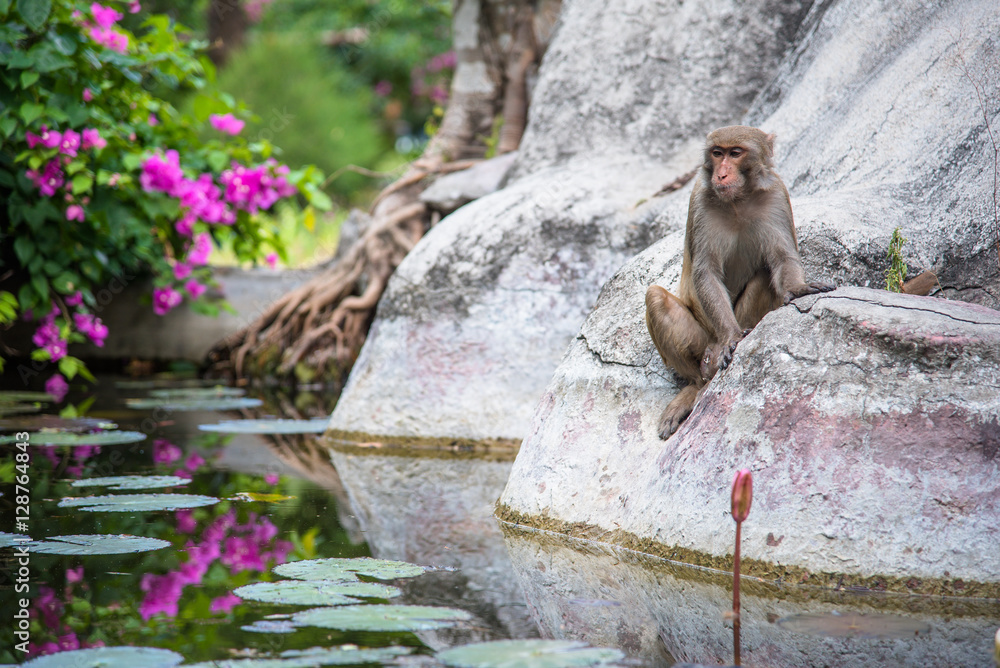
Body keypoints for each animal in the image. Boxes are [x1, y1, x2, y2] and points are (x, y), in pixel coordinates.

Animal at [645, 126, 834, 439]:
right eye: (716, 153)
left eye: (735, 153)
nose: (721, 174)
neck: (738, 200)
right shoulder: (700, 200)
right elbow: (706, 272)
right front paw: (733, 337)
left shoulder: (777, 195)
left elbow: (782, 257)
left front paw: (798, 290)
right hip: (705, 340)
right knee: (656, 297)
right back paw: (698, 384)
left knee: (765, 274)